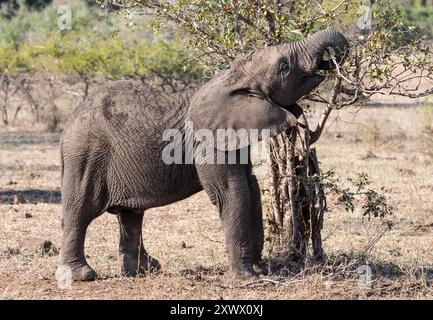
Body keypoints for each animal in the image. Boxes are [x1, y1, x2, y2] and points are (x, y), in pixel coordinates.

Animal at [59, 28, 348, 282]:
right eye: (284, 67)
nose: (331, 58)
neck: (233, 76)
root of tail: (68, 124)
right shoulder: (209, 142)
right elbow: (232, 191)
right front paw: (246, 279)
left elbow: (251, 187)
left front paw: (260, 269)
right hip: (86, 155)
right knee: (80, 210)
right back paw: (82, 276)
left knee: (130, 215)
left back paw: (143, 271)